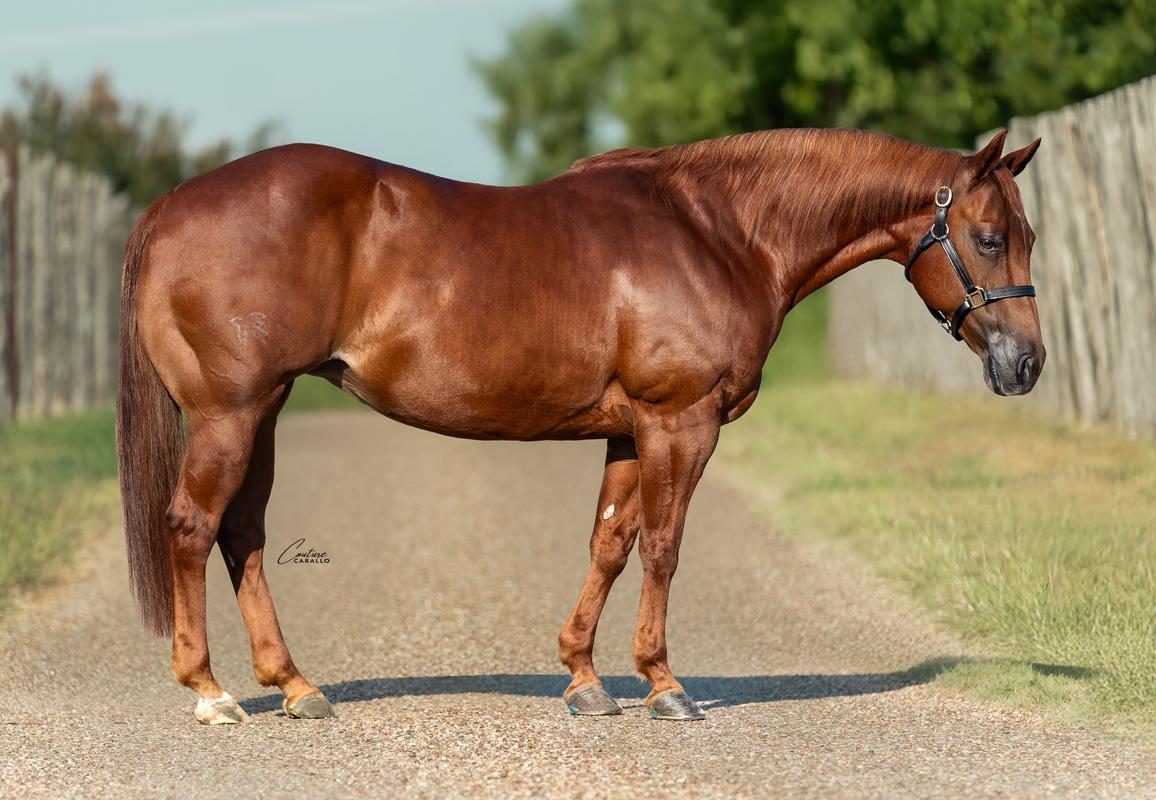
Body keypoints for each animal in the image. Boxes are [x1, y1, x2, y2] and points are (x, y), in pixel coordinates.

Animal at [116, 127, 1044, 725]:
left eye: (1025, 234)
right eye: (989, 237)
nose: (1026, 364)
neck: (719, 231)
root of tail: (168, 208)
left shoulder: (632, 430)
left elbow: (610, 542)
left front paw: (584, 679)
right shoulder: (681, 422)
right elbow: (664, 546)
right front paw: (665, 685)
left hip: (263, 411)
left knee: (242, 533)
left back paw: (296, 687)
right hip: (231, 414)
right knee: (193, 526)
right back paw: (212, 693)